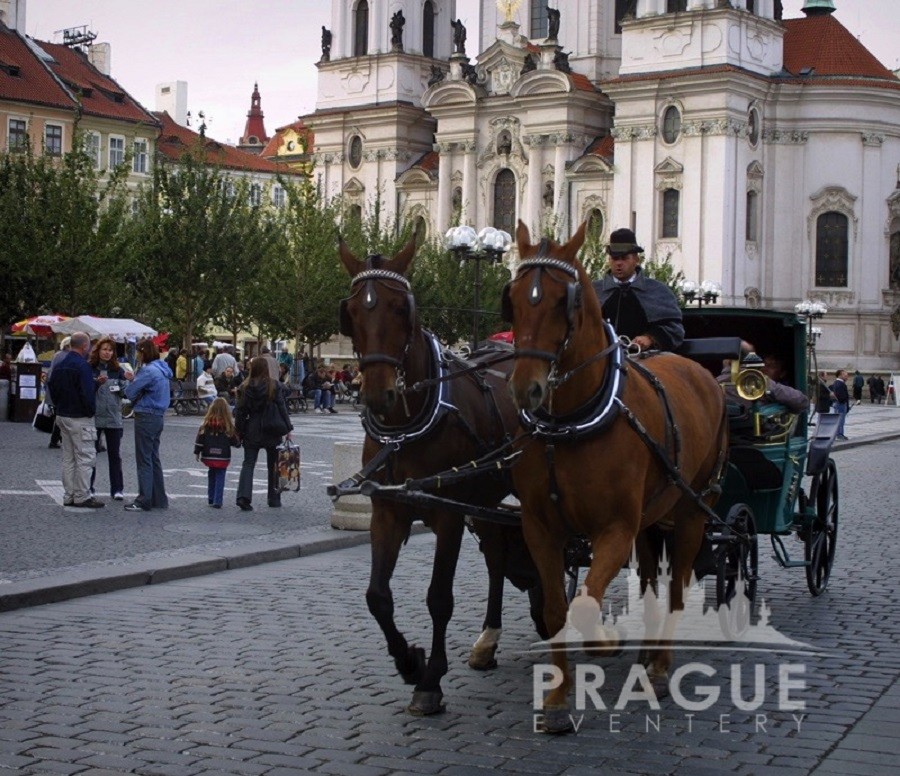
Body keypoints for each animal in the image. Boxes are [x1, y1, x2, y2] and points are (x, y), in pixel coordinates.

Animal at [338, 235, 544, 716]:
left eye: (402, 308)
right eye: (351, 312)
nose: (378, 393)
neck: (407, 427)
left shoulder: (448, 517)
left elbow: (438, 598)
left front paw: (430, 679)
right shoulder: (388, 512)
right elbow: (377, 596)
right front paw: (409, 662)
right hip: (486, 500)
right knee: (497, 557)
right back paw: (488, 641)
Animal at [502, 223, 728, 732]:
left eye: (562, 301)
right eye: (515, 299)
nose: (526, 390)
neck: (569, 425)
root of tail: (703, 373)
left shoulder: (614, 529)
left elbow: (586, 604)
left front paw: (605, 640)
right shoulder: (540, 529)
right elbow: (556, 608)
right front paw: (558, 697)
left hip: (692, 511)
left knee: (678, 585)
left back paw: (660, 665)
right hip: (651, 519)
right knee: (649, 583)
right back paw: (646, 654)